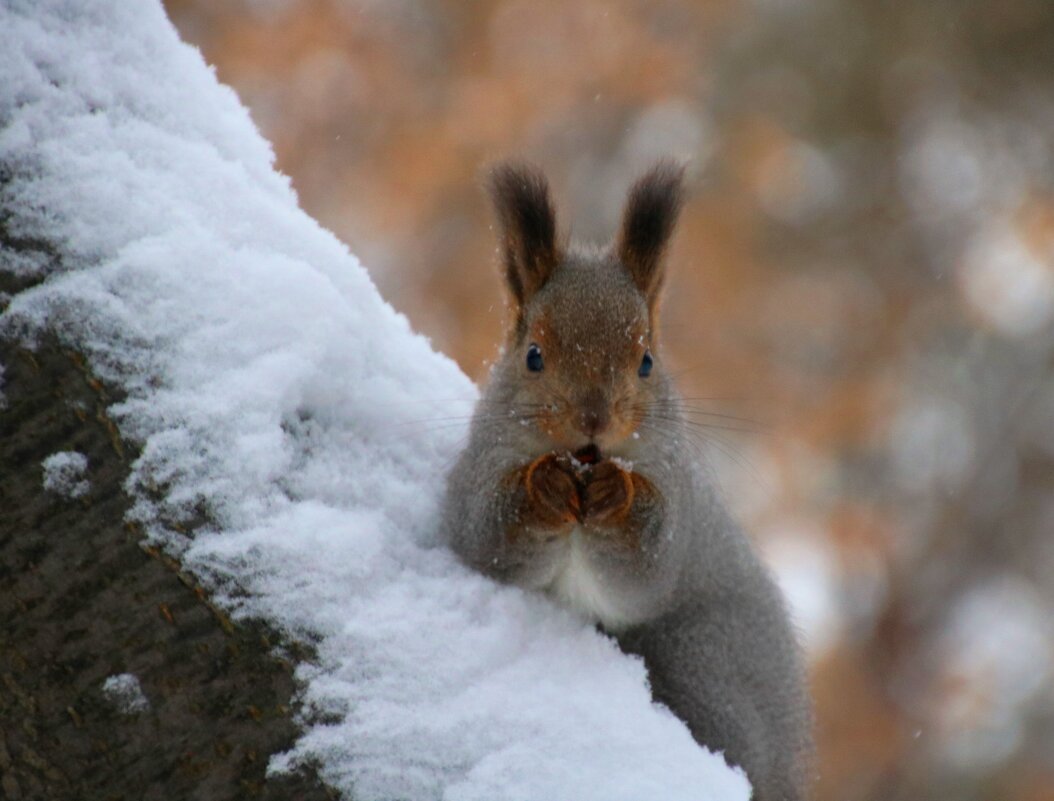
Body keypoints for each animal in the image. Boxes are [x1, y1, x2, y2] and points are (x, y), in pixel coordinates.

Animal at [440, 159, 809, 796]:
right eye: (533, 355)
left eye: (647, 362)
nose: (593, 422)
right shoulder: (479, 469)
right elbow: (485, 536)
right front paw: (543, 489)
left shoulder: (674, 489)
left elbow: (646, 569)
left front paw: (619, 496)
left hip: (703, 660)